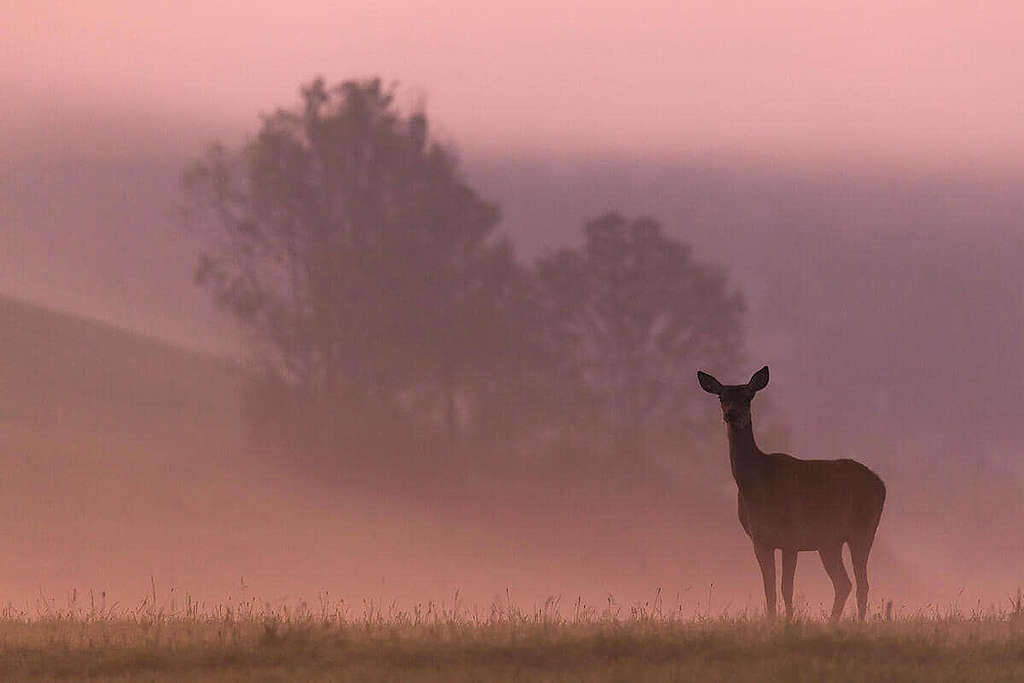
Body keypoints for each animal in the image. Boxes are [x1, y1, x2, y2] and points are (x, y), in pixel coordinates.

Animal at [700, 366, 884, 622]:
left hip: (863, 530)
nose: (732, 414)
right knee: (844, 583)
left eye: (748, 396)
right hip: (829, 542)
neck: (758, 486)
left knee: (862, 584)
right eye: (721, 397)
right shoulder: (760, 540)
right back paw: (832, 623)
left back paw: (857, 624)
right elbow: (769, 588)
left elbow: (786, 587)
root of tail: (881, 485)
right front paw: (771, 622)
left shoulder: (791, 536)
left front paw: (788, 622)